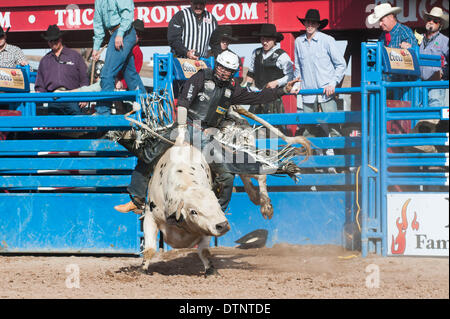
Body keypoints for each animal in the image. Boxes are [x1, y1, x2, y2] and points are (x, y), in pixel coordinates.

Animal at [126, 106, 310, 276]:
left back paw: (265, 205)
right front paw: (143, 269)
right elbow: (150, 249)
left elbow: (204, 251)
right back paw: (256, 196)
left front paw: (210, 270)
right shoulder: (151, 216)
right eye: (193, 211)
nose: (223, 225)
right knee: (249, 176)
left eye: (217, 204)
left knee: (260, 175)